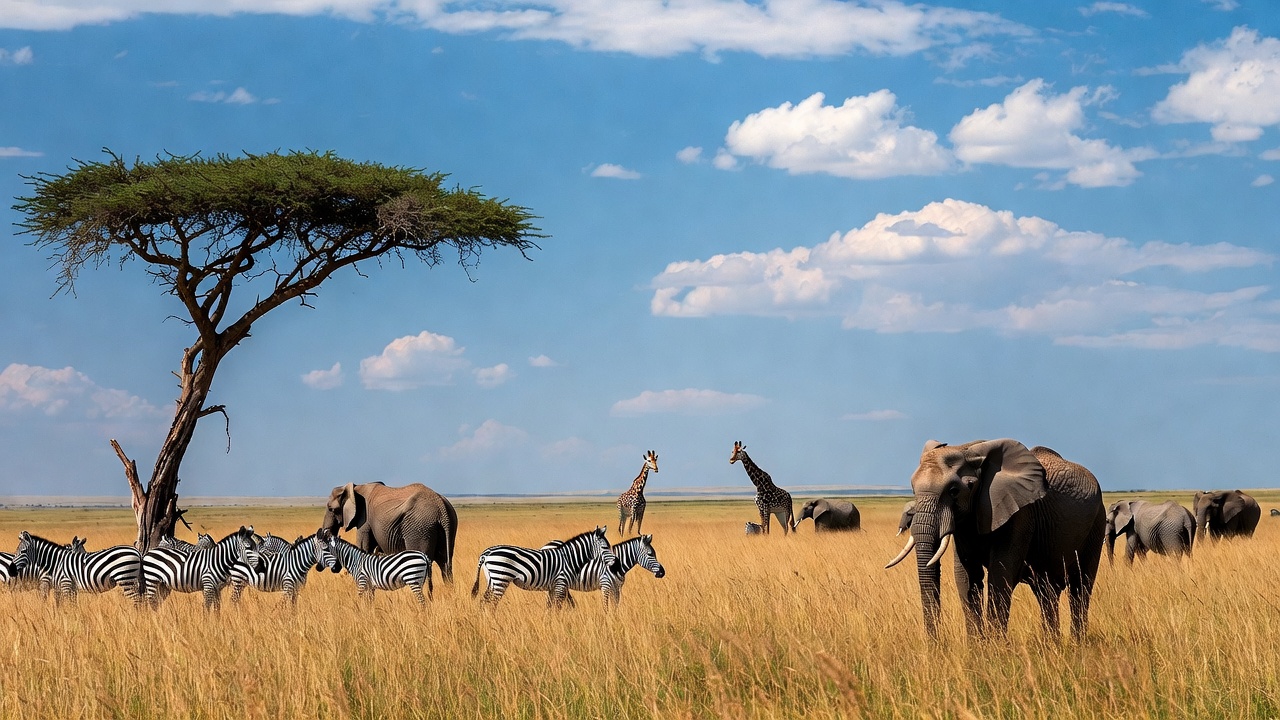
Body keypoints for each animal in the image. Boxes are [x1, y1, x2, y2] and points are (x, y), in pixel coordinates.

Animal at [12, 532, 143, 606]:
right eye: (16, 551)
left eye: (23, 552)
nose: (11, 569)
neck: (56, 562)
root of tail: (137, 552)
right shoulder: (72, 588)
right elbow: (73, 606)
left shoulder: (65, 584)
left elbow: (68, 605)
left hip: (126, 578)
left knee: (136, 600)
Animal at [321, 482, 458, 582]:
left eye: (331, 509)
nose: (336, 569)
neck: (356, 487)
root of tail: (441, 506)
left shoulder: (364, 521)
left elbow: (363, 547)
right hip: (448, 526)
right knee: (445, 566)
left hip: (420, 528)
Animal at [470, 526, 620, 608]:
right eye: (605, 547)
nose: (616, 563)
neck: (569, 558)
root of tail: (487, 553)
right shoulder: (561, 583)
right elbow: (557, 607)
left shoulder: (554, 586)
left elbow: (550, 607)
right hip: (500, 578)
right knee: (492, 604)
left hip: (492, 580)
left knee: (483, 602)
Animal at [885, 439, 1105, 640]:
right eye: (913, 489)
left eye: (954, 491)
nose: (937, 645)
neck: (969, 448)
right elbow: (966, 577)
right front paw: (978, 650)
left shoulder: (1020, 515)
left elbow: (1000, 577)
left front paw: (996, 650)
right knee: (1046, 592)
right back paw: (1053, 644)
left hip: (1097, 524)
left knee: (1080, 588)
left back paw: (1077, 644)